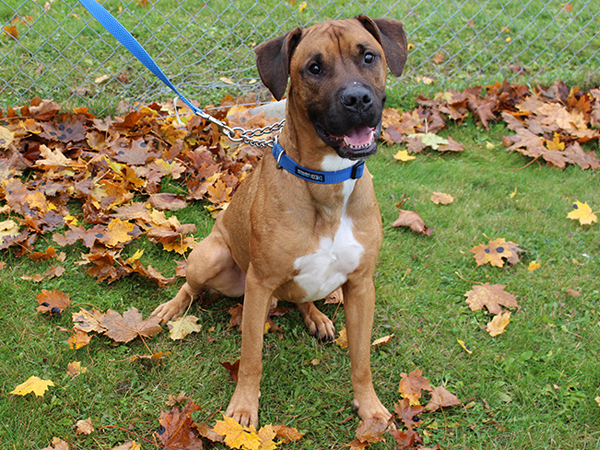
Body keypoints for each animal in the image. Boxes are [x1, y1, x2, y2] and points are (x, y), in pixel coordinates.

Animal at [152, 15, 410, 428]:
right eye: (314, 68)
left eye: (369, 56)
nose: (357, 99)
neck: (327, 180)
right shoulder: (259, 285)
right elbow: (251, 358)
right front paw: (243, 408)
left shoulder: (360, 286)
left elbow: (361, 360)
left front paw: (369, 408)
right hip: (211, 258)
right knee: (190, 288)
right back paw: (171, 308)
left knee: (303, 298)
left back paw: (316, 317)